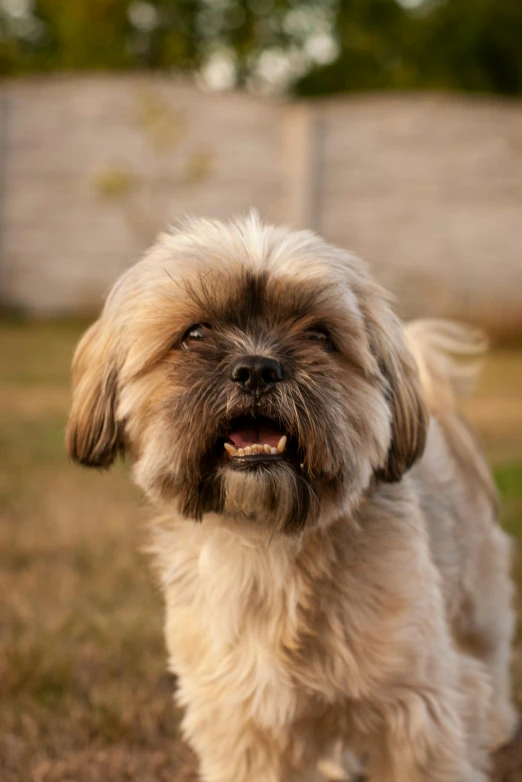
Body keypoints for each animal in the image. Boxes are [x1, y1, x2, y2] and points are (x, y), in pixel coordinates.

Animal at [66, 214, 516, 782]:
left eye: (319, 335)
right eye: (195, 333)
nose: (257, 367)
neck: (268, 540)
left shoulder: (418, 709)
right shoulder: (242, 725)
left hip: (479, 602)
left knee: (491, 655)